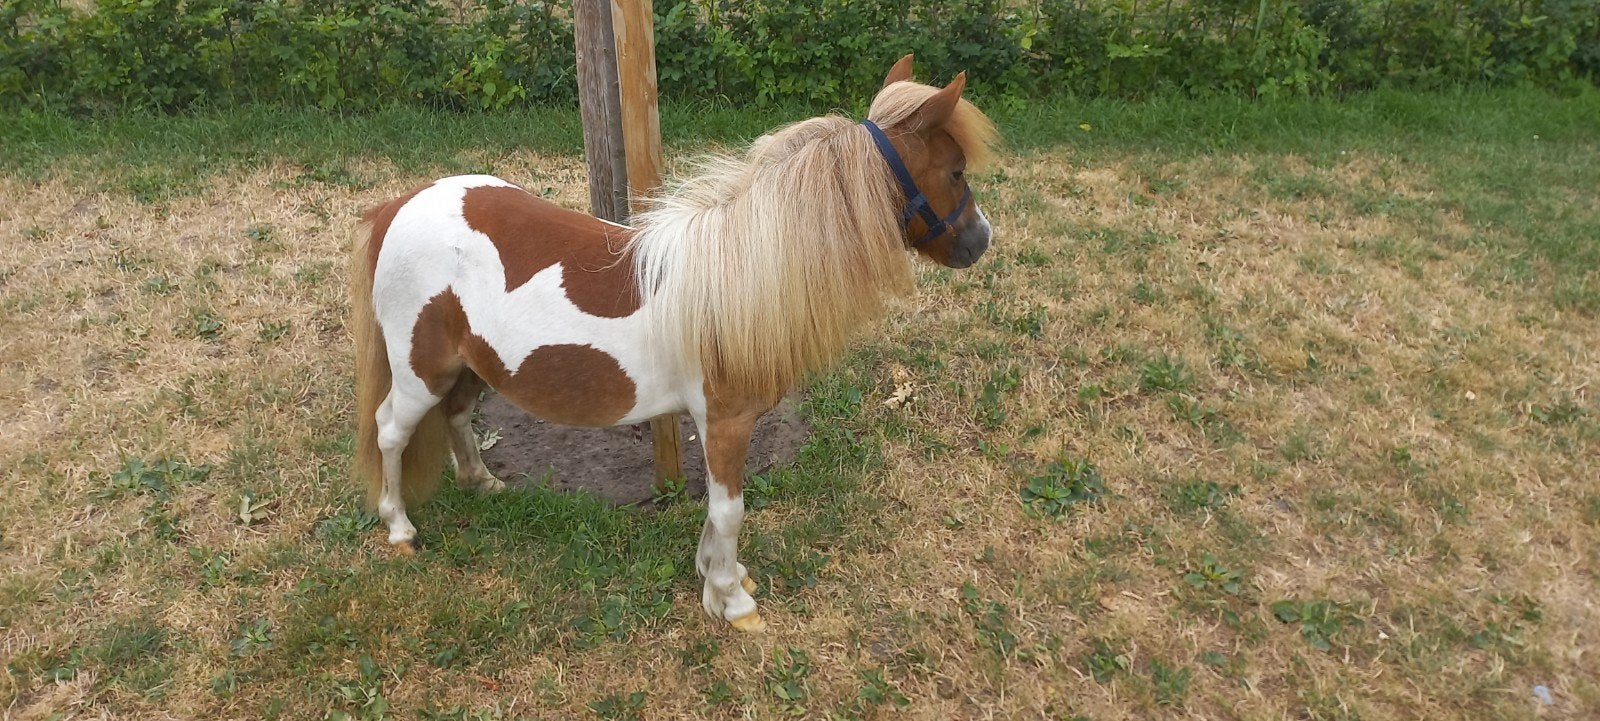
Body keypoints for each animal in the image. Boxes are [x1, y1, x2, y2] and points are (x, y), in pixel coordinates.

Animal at [350, 55, 997, 633]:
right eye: (956, 171)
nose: (981, 242)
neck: (740, 276)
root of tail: (398, 205)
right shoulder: (727, 420)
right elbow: (730, 510)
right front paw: (733, 602)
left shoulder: (716, 423)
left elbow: (716, 510)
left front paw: (715, 579)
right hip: (420, 371)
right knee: (390, 431)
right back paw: (400, 529)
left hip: (471, 366)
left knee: (457, 416)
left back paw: (482, 483)